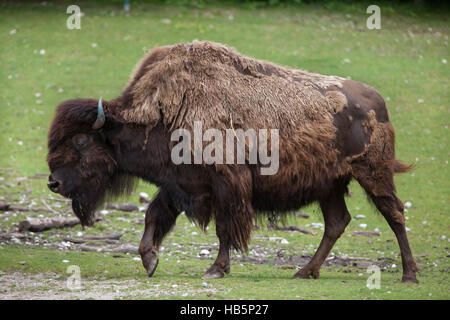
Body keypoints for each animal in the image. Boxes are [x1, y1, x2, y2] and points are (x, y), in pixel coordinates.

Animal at [46, 40, 418, 282]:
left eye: (80, 140)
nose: (53, 182)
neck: (167, 113)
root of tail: (377, 103)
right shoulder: (179, 184)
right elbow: (154, 215)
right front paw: (150, 260)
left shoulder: (226, 184)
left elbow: (224, 228)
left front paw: (215, 269)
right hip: (330, 186)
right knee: (337, 222)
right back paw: (305, 272)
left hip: (372, 174)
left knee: (394, 214)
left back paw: (409, 275)